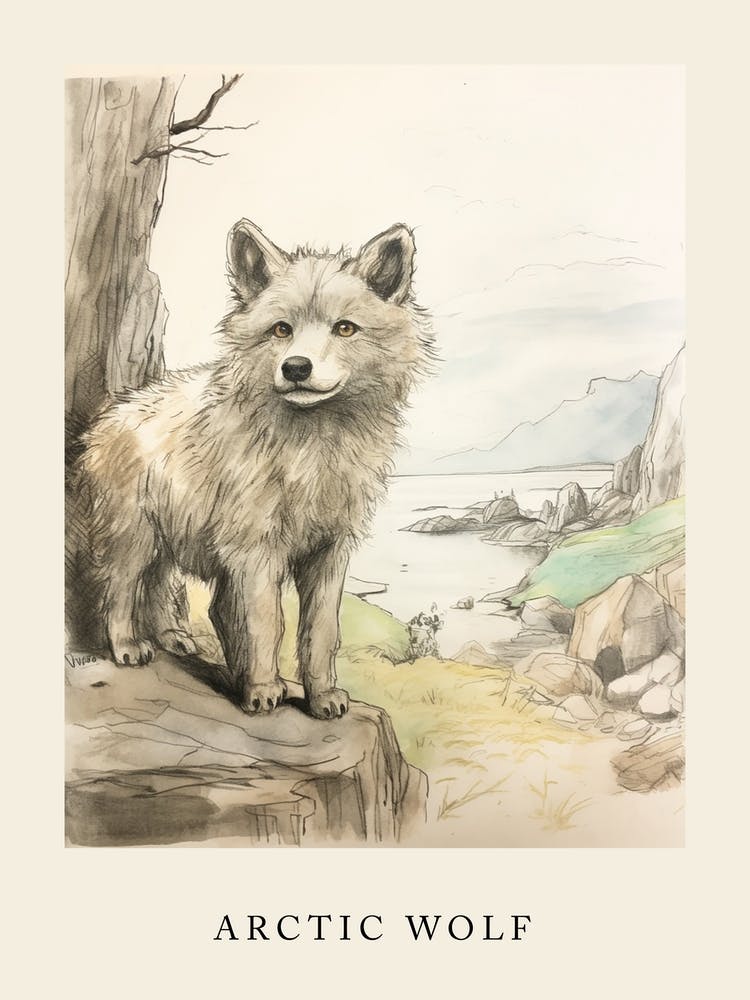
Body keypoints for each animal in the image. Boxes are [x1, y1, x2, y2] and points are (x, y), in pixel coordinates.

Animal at [71, 219, 433, 719]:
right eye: (281, 329)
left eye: (345, 328)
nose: (296, 367)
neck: (311, 446)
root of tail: (112, 414)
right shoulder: (256, 550)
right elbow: (267, 625)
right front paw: (262, 690)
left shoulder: (328, 550)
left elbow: (320, 633)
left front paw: (322, 695)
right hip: (135, 535)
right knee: (123, 589)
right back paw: (128, 646)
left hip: (174, 538)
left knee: (168, 590)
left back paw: (174, 638)